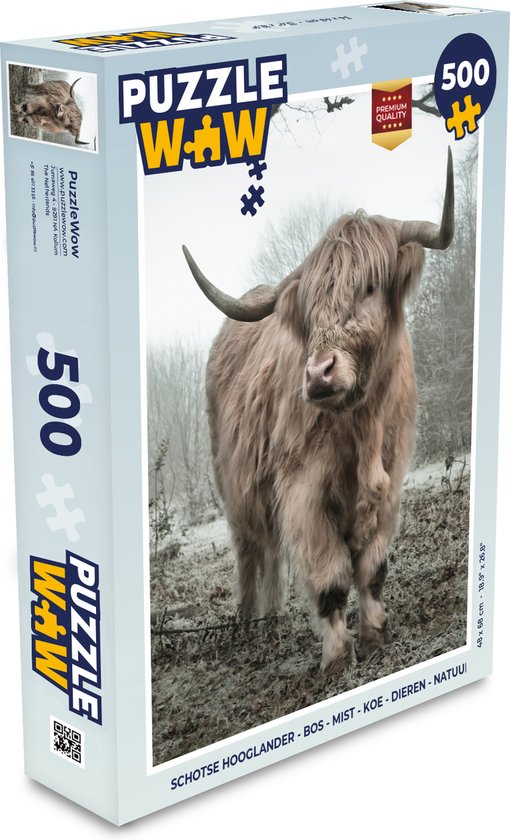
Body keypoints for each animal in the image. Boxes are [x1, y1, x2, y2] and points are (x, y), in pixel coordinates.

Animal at [182, 150, 454, 673]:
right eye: (310, 308)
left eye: (369, 286)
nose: (318, 374)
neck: (361, 428)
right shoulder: (303, 492)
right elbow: (329, 578)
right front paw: (337, 657)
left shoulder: (391, 481)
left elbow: (372, 569)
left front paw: (375, 634)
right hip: (236, 488)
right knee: (252, 552)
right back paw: (250, 622)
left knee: (271, 557)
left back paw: (272, 618)